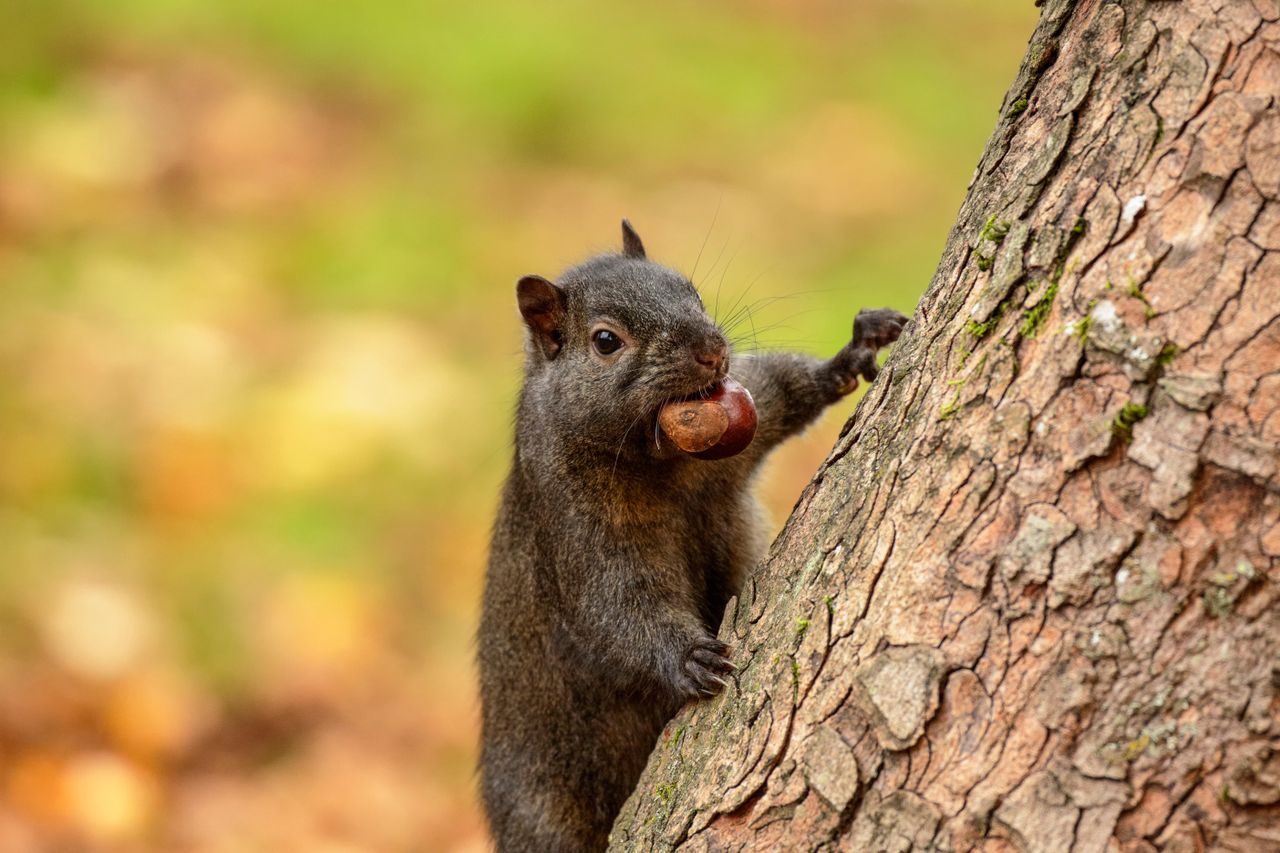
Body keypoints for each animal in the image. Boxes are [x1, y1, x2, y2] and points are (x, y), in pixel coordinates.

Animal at [476, 222, 906, 845]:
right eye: (605, 341)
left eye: (693, 292)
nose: (713, 350)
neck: (667, 458)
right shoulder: (574, 520)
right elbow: (614, 606)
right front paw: (688, 660)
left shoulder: (747, 416)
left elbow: (785, 390)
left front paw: (853, 350)